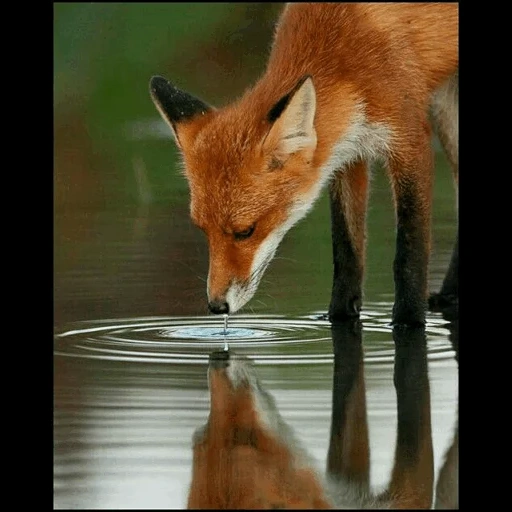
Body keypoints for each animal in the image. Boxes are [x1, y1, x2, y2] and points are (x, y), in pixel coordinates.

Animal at [150, 3, 458, 324]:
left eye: (245, 231)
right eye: (203, 230)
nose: (217, 306)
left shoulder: (409, 139)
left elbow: (409, 254)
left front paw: (409, 319)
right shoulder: (347, 153)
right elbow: (346, 253)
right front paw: (338, 315)